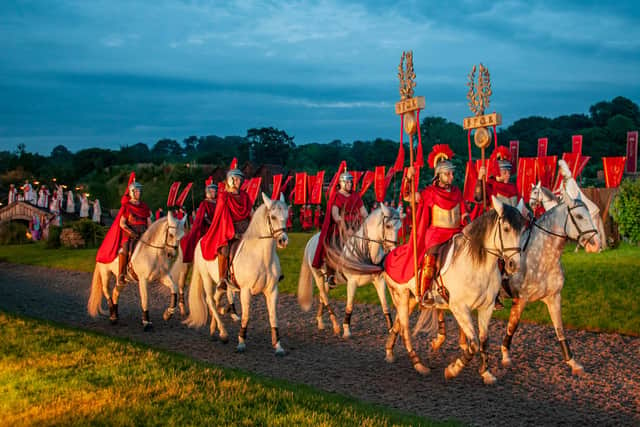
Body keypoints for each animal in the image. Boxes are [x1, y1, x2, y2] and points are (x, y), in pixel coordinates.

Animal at [182, 193, 288, 354]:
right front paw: (241, 342)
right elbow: (246, 316)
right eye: (273, 217)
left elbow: (273, 317)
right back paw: (223, 332)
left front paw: (278, 346)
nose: (283, 241)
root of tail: (201, 240)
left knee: (216, 299)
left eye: (287, 216)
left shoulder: (272, 290)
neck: (261, 257)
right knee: (210, 301)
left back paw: (214, 330)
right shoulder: (245, 291)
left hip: (222, 286)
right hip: (206, 277)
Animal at [298, 206, 402, 340]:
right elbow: (350, 305)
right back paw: (336, 326)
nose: (394, 250)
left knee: (322, 295)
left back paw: (320, 322)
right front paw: (346, 330)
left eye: (399, 226)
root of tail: (311, 240)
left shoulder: (379, 281)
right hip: (318, 276)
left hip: (328, 281)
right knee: (325, 297)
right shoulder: (352, 283)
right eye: (388, 226)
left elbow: (385, 305)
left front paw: (391, 329)